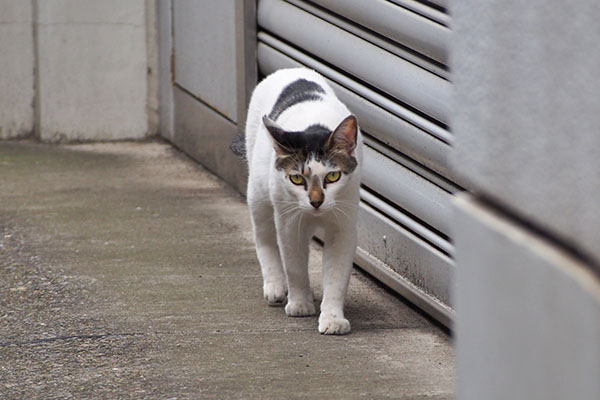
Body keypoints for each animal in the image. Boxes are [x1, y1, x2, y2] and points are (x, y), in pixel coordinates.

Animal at [241, 68, 364, 334]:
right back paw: (275, 285)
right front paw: (299, 304)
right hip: (258, 195)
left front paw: (332, 318)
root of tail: (288, 70)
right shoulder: (289, 225)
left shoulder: (343, 226)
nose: (316, 202)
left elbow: (337, 276)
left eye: (333, 176)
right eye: (296, 178)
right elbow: (294, 266)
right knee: (264, 238)